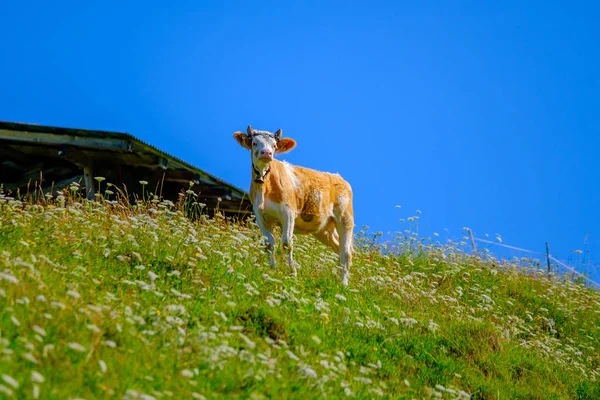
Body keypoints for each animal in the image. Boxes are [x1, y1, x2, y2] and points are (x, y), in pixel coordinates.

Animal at [233, 125, 356, 284]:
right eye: (254, 143)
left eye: (274, 146)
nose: (267, 153)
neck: (264, 185)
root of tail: (338, 177)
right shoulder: (260, 214)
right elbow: (269, 244)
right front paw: (272, 270)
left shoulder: (288, 213)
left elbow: (287, 243)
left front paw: (292, 273)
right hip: (324, 229)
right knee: (338, 249)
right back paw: (338, 279)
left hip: (345, 218)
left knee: (346, 253)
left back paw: (343, 284)